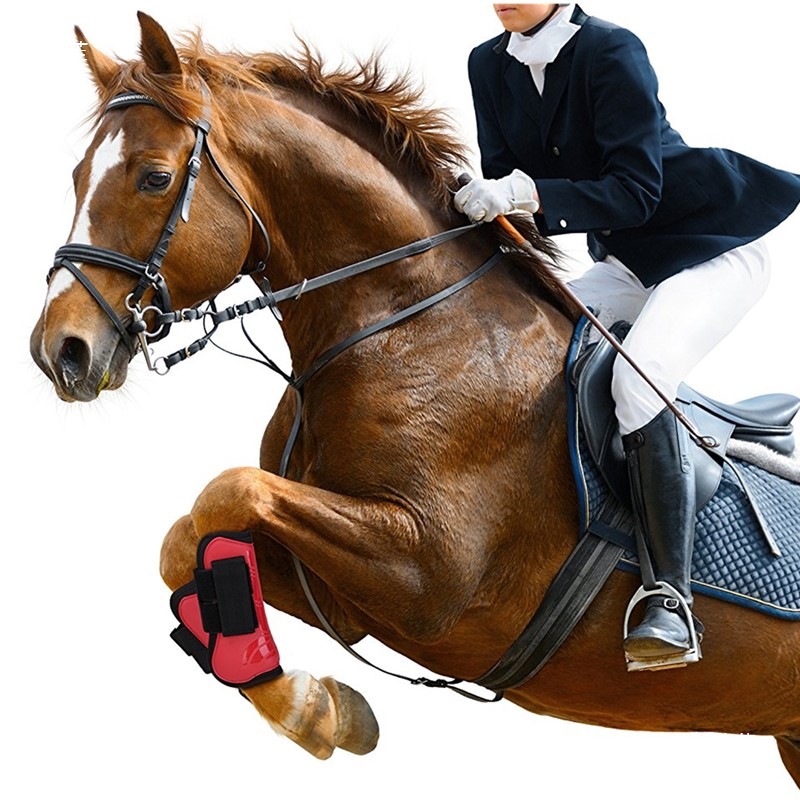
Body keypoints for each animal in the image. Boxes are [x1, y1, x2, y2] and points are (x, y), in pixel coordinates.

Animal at [30, 12, 800, 788]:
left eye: (155, 178)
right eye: (77, 177)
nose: (59, 351)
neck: (401, 323)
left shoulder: (427, 573)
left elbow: (229, 491)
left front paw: (307, 710)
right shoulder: (345, 599)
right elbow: (183, 542)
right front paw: (320, 708)